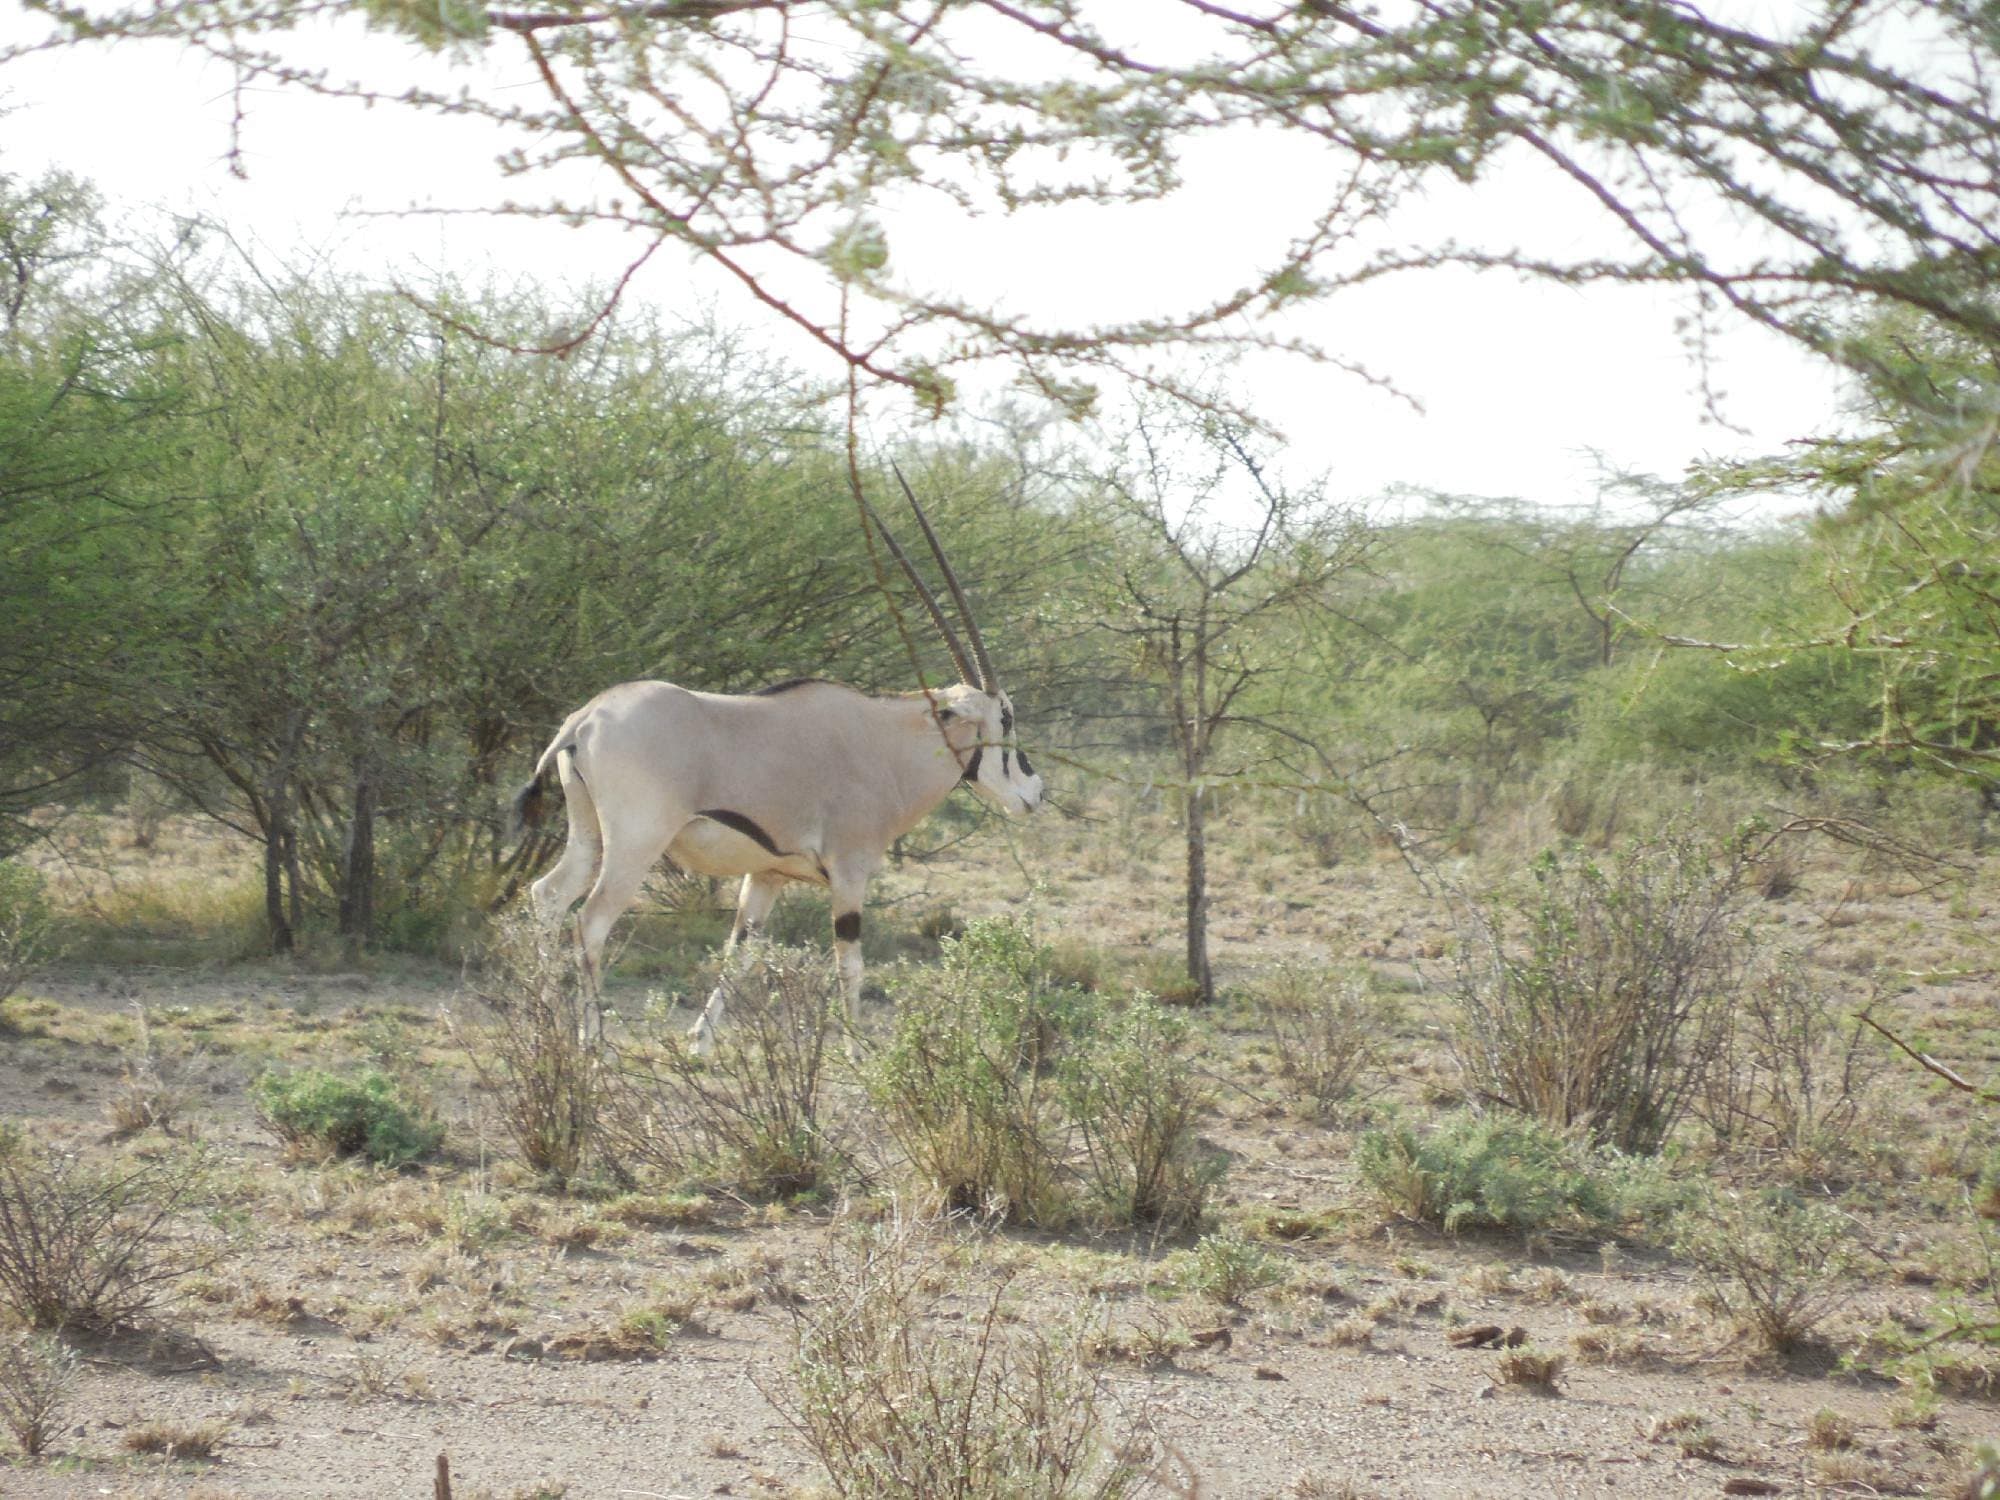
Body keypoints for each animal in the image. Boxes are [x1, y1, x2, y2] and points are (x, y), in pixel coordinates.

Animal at [510, 476, 1044, 1054]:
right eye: (1007, 716)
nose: (1035, 792)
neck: (886, 746)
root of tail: (583, 719)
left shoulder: (766, 875)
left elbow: (738, 955)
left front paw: (699, 1044)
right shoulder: (849, 873)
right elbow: (850, 965)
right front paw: (857, 1052)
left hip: (588, 833)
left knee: (548, 897)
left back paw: (546, 1026)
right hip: (636, 842)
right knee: (590, 920)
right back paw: (592, 1043)